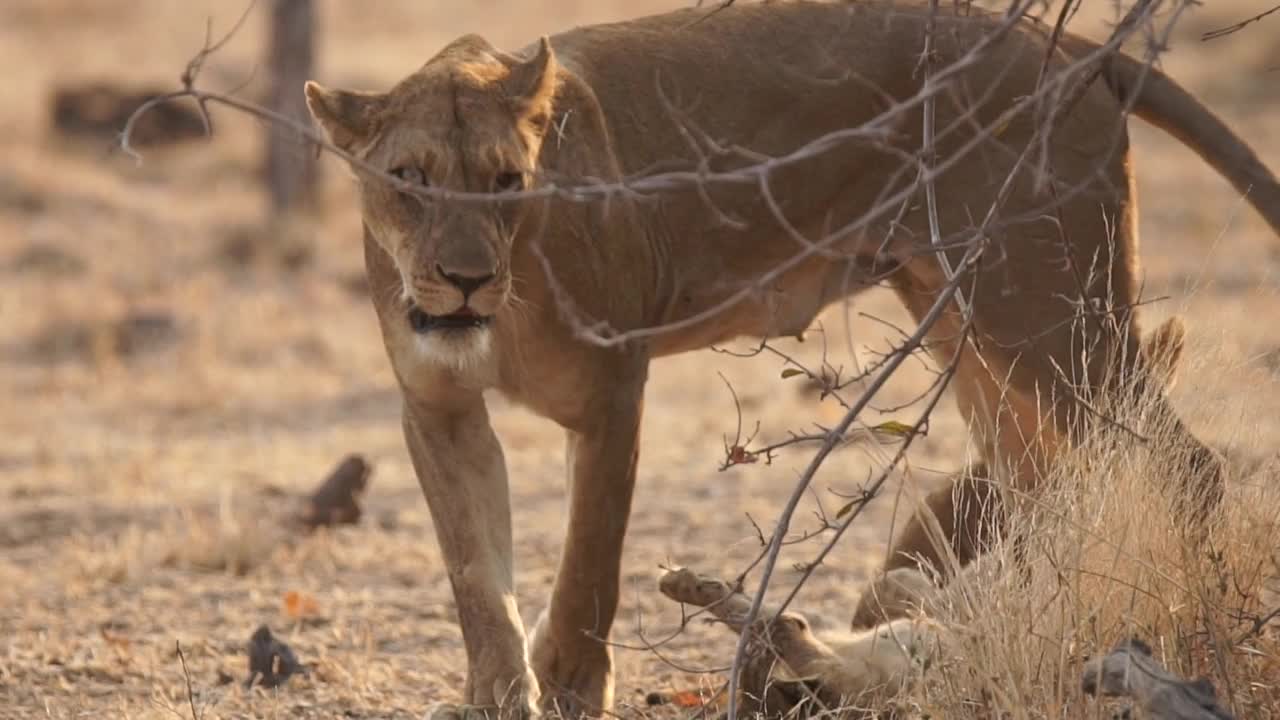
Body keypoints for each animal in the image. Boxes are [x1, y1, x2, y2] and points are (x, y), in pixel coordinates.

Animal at [302, 1, 1280, 712]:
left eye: (507, 181)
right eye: (409, 181)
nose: (465, 281)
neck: (506, 302)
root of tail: (1067, 43)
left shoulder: (615, 387)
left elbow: (589, 564)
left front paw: (573, 690)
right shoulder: (437, 408)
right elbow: (476, 576)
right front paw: (500, 694)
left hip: (1040, 303)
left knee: (1184, 466)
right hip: (967, 319)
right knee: (1050, 483)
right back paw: (1018, 625)